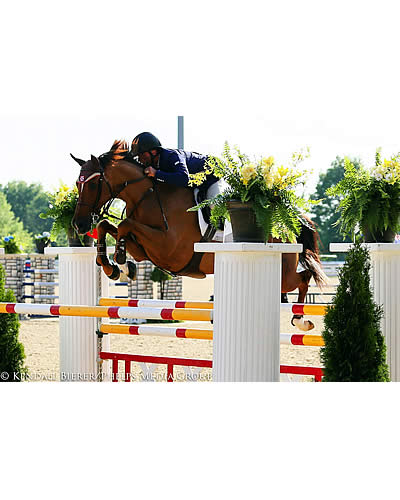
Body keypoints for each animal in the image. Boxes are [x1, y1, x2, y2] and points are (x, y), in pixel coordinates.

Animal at [71, 140, 328, 332]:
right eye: (76, 184)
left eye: (92, 185)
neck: (148, 194)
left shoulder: (169, 249)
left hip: (284, 272)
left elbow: (124, 224)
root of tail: (286, 227)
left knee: (303, 278)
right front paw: (114, 267)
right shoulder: (147, 250)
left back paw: (302, 321)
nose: (79, 224)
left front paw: (121, 261)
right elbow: (107, 225)